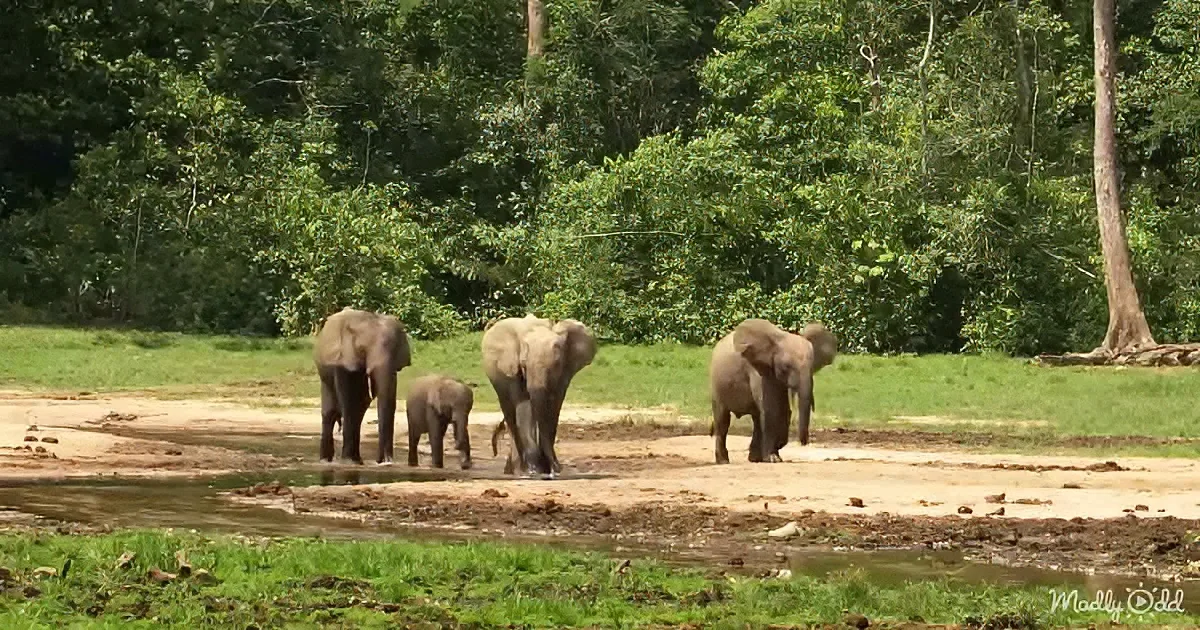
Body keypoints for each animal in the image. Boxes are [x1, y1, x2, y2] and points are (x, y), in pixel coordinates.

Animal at [313, 307, 411, 464]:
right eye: (362, 349)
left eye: (395, 349)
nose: (381, 460)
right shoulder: (343, 358)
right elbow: (348, 402)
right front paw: (348, 461)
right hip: (324, 370)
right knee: (330, 411)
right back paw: (327, 460)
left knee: (359, 409)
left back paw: (356, 459)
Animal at [480, 314, 596, 478]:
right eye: (523, 365)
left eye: (556, 365)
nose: (557, 468)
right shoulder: (512, 367)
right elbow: (524, 404)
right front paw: (534, 470)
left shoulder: (564, 372)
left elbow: (554, 406)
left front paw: (546, 469)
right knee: (510, 412)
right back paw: (515, 470)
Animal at [709, 319, 837, 464]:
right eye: (786, 367)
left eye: (812, 367)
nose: (804, 443)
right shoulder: (757, 369)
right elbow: (771, 409)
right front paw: (773, 459)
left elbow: (784, 410)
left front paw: (775, 454)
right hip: (716, 385)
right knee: (723, 420)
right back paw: (724, 461)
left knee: (757, 418)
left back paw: (755, 459)